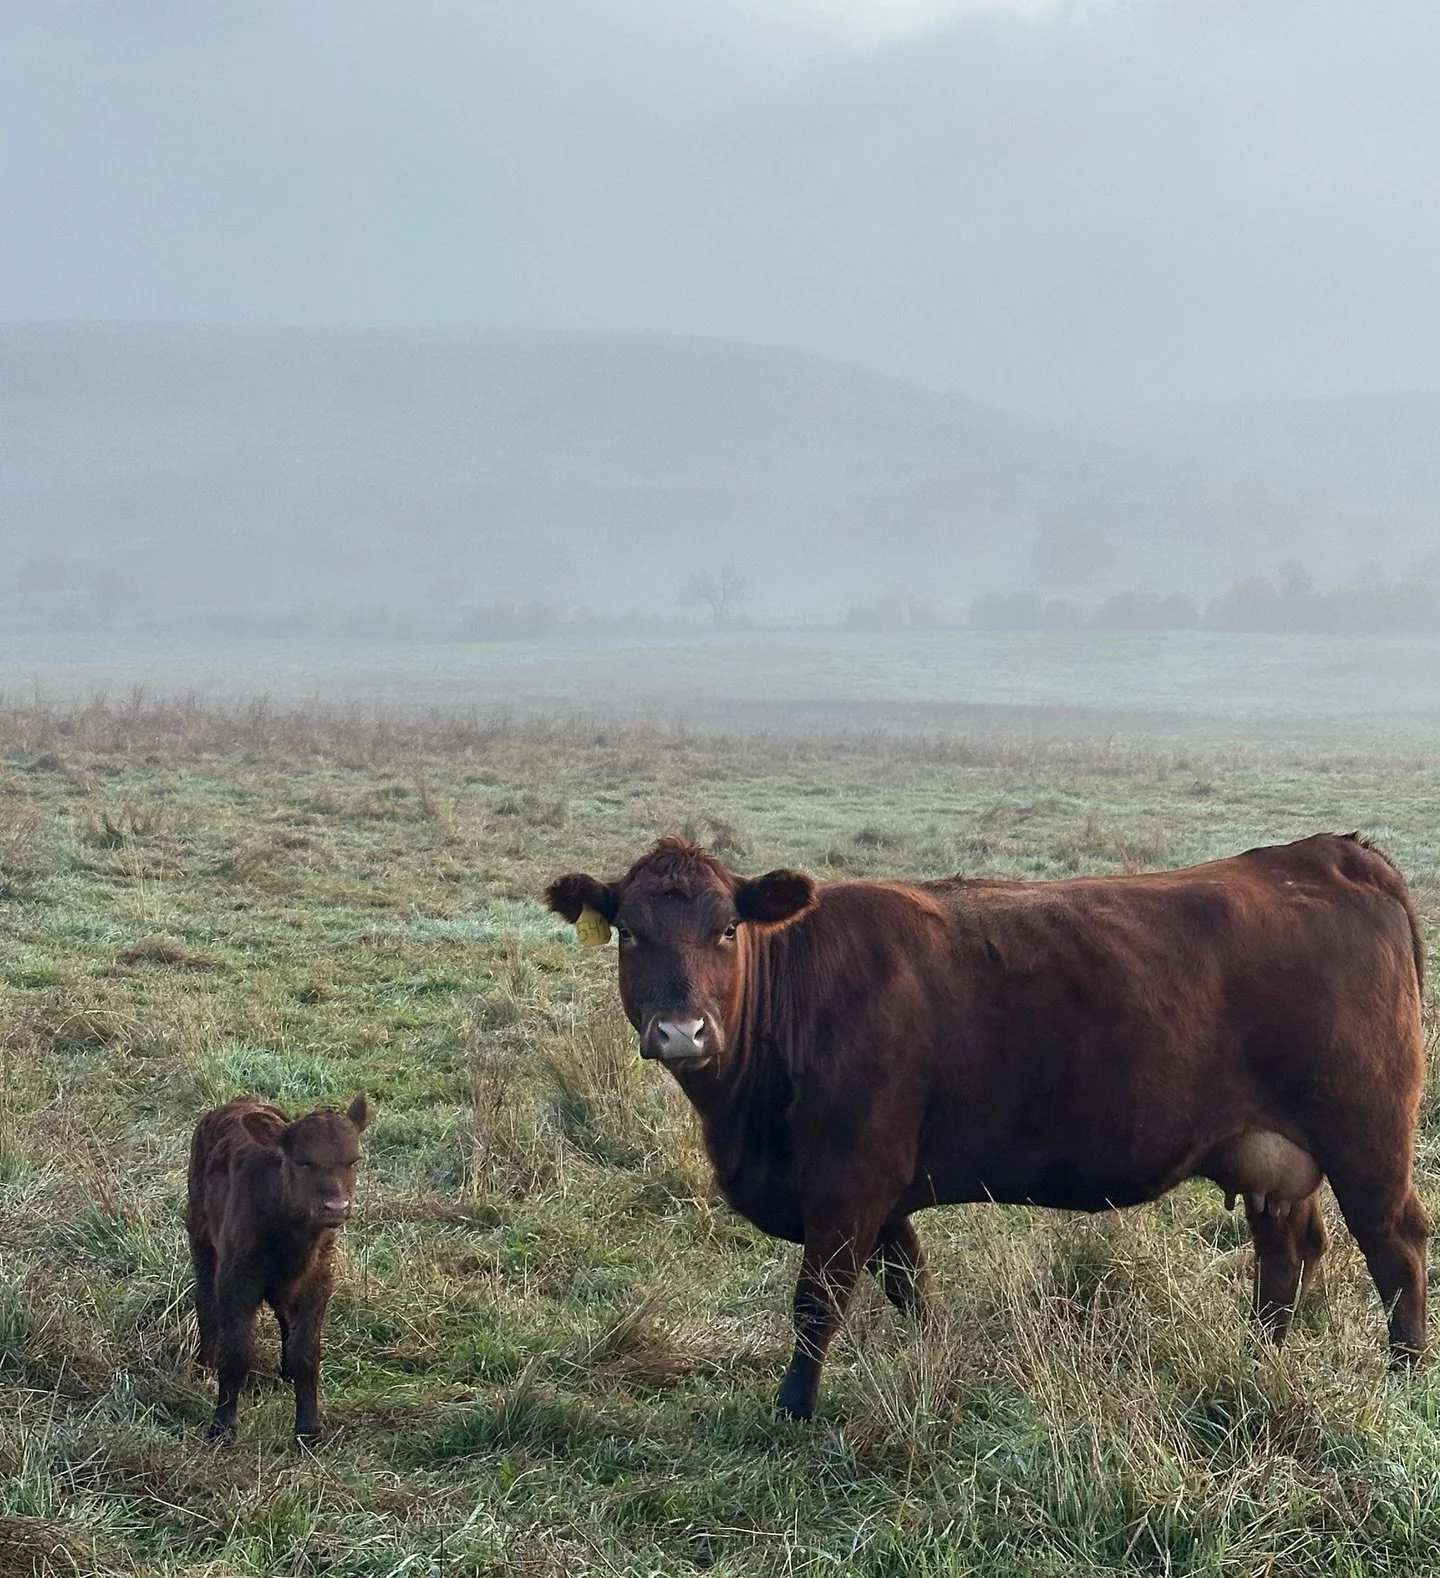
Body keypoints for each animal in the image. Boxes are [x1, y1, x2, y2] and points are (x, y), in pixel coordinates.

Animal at [186, 1092, 371, 1441]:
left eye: (353, 1160)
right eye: (303, 1162)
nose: (336, 1207)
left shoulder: (317, 1281)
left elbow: (307, 1354)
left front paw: (309, 1430)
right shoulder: (236, 1279)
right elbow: (236, 1352)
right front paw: (223, 1426)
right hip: (200, 1235)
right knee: (204, 1298)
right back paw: (204, 1364)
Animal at [545, 833, 1427, 1420]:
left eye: (727, 929)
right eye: (630, 933)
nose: (681, 1032)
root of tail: (1330, 853)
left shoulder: (847, 1186)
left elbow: (816, 1302)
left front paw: (793, 1411)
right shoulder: (883, 1196)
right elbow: (911, 1288)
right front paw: (932, 1365)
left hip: (1368, 1139)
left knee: (1396, 1248)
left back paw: (1406, 1375)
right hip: (1272, 1155)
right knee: (1285, 1252)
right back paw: (1257, 1360)